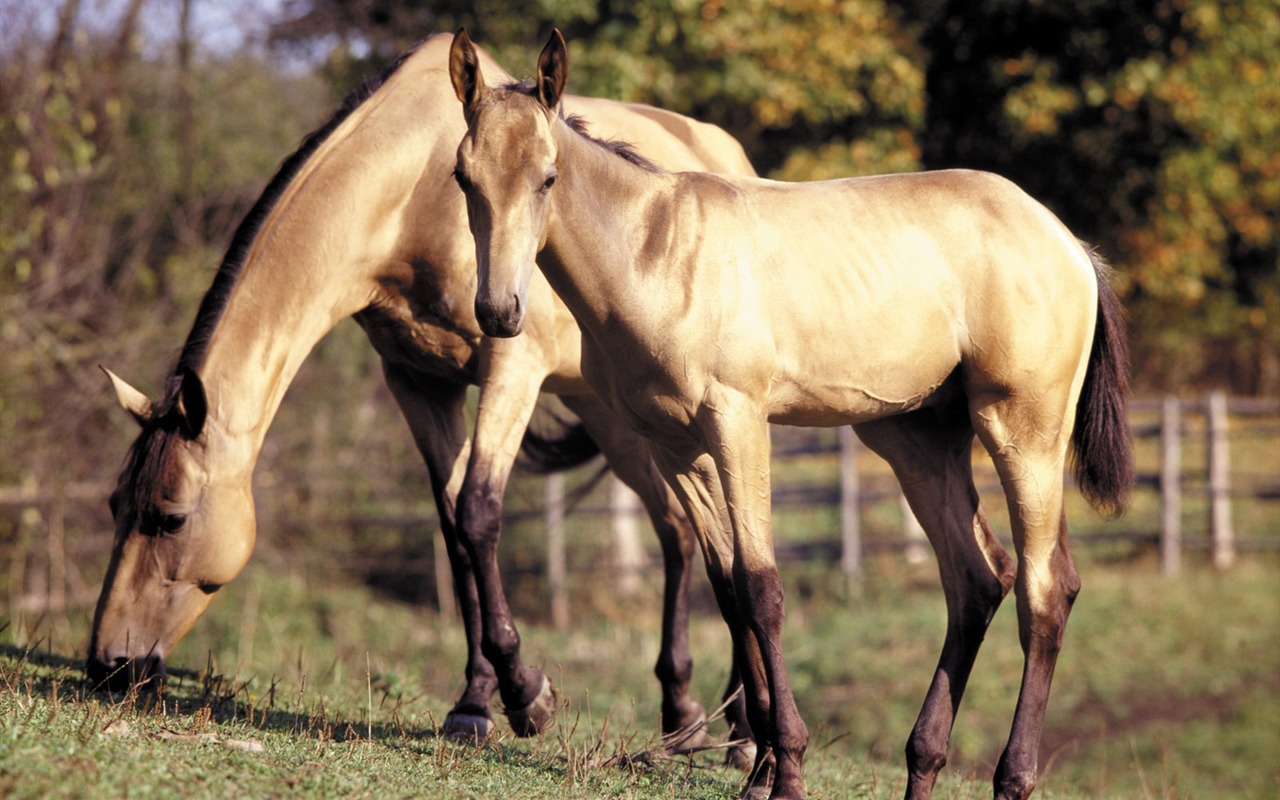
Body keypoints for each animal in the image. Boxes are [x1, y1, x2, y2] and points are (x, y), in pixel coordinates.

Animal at [90, 31, 757, 752]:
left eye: (172, 517)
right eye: (115, 506)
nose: (110, 665)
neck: (411, 197)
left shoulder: (511, 367)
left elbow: (480, 513)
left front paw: (528, 695)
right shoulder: (418, 382)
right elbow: (454, 531)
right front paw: (474, 704)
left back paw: (744, 725)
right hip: (612, 414)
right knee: (680, 531)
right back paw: (686, 714)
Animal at [448, 31, 1131, 798]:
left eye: (548, 178)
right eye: (463, 177)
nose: (498, 312)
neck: (658, 255)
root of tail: (1072, 245)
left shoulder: (738, 423)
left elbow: (763, 585)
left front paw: (788, 769)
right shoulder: (677, 447)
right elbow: (728, 589)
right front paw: (760, 768)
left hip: (1023, 433)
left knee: (1045, 589)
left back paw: (1013, 777)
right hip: (917, 441)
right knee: (977, 579)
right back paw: (922, 763)